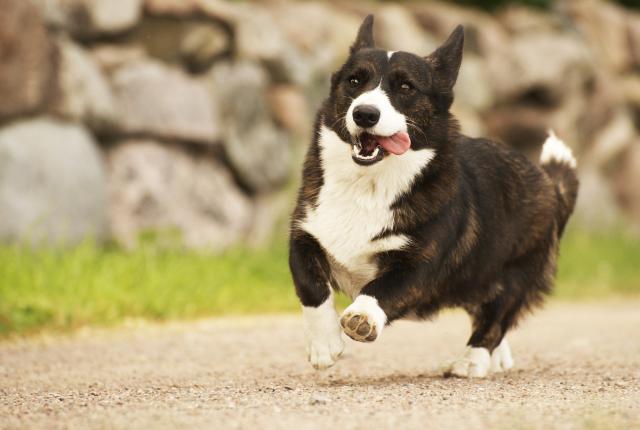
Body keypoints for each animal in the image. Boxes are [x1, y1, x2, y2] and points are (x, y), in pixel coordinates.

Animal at [290, 14, 580, 376]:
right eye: (355, 81)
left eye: (406, 88)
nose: (365, 114)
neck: (368, 183)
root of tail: (548, 183)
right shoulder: (304, 237)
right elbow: (311, 286)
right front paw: (324, 345)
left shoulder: (418, 267)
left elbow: (379, 289)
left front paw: (362, 317)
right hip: (475, 276)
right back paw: (497, 358)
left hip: (514, 274)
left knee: (495, 320)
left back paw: (472, 360)